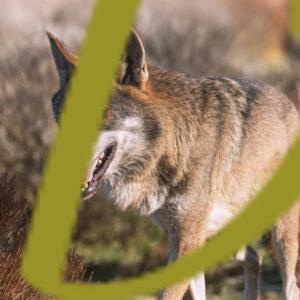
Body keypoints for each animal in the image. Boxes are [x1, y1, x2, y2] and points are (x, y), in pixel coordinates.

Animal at [47, 28, 300, 300]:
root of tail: (291, 104)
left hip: (282, 234)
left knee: (289, 285)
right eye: (62, 116)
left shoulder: (186, 239)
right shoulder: (179, 237)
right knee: (255, 259)